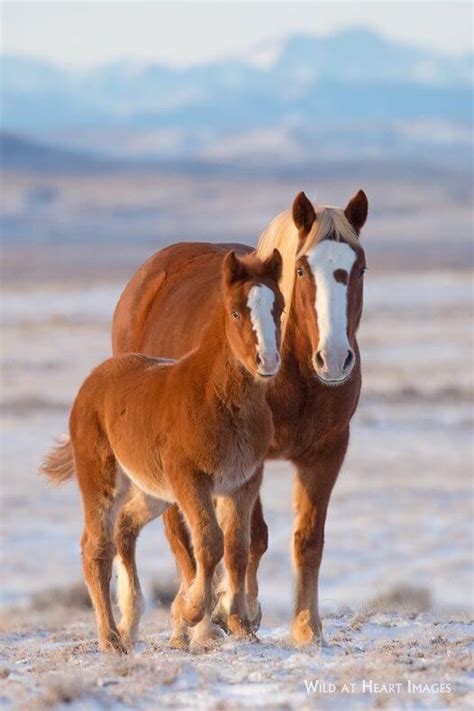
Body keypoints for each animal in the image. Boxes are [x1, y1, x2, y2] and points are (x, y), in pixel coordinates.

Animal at [40, 252, 284, 656]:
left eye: (279, 307)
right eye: (236, 312)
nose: (267, 360)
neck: (217, 396)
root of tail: (94, 379)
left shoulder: (243, 483)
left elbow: (237, 546)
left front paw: (239, 624)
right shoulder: (191, 479)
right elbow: (209, 542)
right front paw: (192, 612)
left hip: (153, 491)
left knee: (124, 526)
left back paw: (129, 624)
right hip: (104, 481)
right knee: (96, 549)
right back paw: (111, 640)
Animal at [113, 189, 368, 644]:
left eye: (359, 267)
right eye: (301, 269)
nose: (335, 358)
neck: (294, 372)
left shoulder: (327, 450)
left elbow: (307, 539)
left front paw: (307, 628)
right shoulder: (249, 457)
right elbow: (249, 537)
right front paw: (236, 614)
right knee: (181, 533)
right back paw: (192, 620)